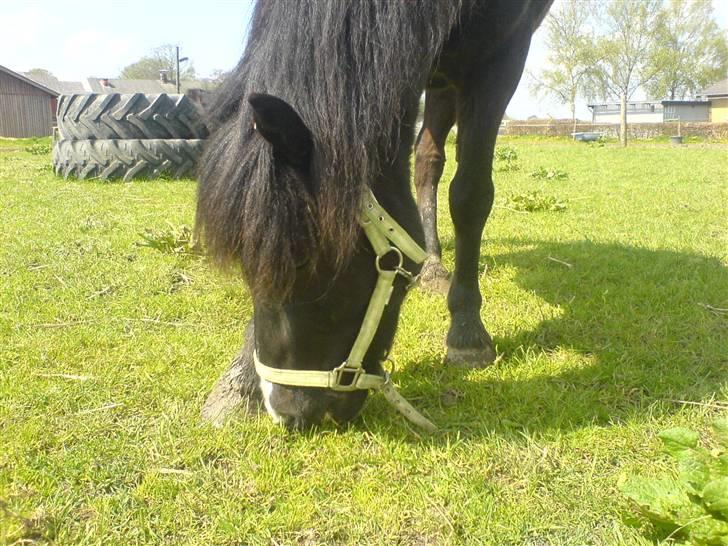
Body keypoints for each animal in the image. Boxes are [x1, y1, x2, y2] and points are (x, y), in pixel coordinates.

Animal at [198, 0, 552, 428]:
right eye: (245, 263)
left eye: (304, 262)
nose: (288, 412)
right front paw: (239, 384)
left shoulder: (501, 57)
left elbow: (471, 195)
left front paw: (467, 333)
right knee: (426, 159)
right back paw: (433, 266)